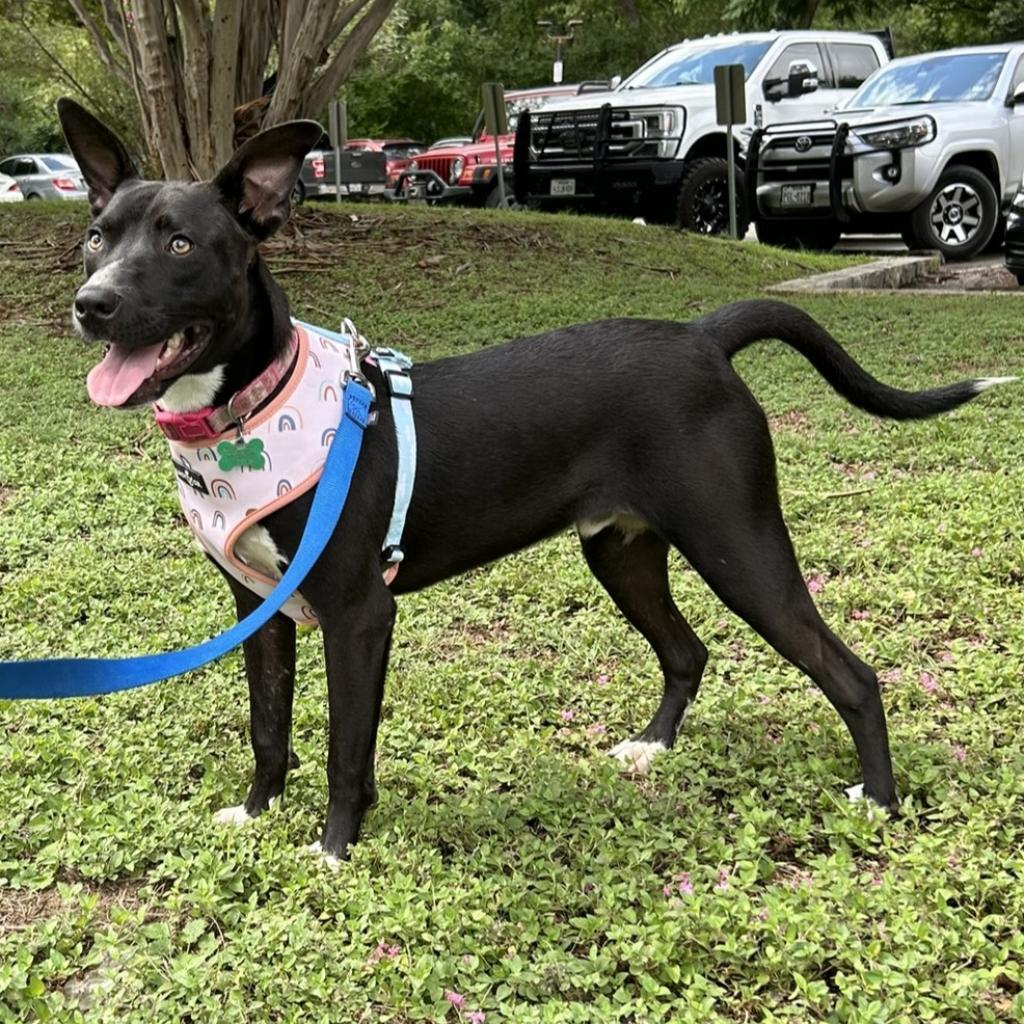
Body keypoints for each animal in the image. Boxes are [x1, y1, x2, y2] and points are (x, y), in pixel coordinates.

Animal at [56, 99, 1007, 860]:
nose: (91, 304)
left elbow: (343, 748)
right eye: (98, 237)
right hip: (622, 552)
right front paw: (256, 814)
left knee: (851, 675)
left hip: (738, 546)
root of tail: (704, 337)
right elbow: (267, 725)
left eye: (181, 243)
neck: (254, 409)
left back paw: (877, 802)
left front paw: (332, 850)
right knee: (687, 652)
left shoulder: (360, 617)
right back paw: (653, 749)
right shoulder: (260, 611)